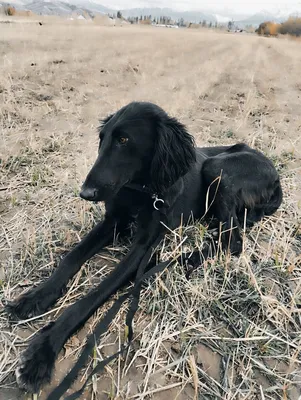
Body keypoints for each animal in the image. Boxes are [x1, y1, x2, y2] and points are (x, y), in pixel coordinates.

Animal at [5, 101, 282, 396]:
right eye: (102, 139)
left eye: (124, 140)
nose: (85, 193)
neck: (142, 191)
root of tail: (274, 173)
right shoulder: (113, 222)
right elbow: (71, 258)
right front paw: (34, 297)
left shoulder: (143, 248)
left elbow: (94, 294)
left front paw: (42, 353)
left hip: (217, 168)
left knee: (234, 241)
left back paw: (186, 258)